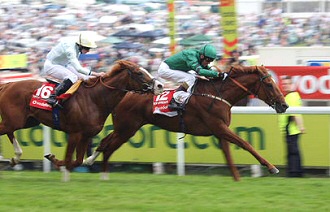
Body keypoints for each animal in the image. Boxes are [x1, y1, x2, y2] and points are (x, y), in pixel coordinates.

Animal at [0, 59, 164, 171]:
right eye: (139, 73)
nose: (160, 86)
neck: (94, 99)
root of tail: (7, 85)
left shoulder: (86, 135)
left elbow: (77, 160)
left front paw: (54, 158)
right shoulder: (75, 133)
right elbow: (68, 159)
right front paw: (56, 162)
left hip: (27, 121)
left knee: (10, 132)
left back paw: (16, 158)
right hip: (14, 120)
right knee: (8, 130)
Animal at [84, 65, 288, 181]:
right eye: (269, 84)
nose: (284, 105)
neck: (219, 95)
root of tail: (124, 93)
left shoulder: (220, 131)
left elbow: (228, 155)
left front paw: (237, 179)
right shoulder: (219, 127)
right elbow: (246, 144)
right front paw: (272, 167)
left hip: (125, 128)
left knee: (105, 143)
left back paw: (92, 162)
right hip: (127, 129)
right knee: (108, 146)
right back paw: (100, 171)